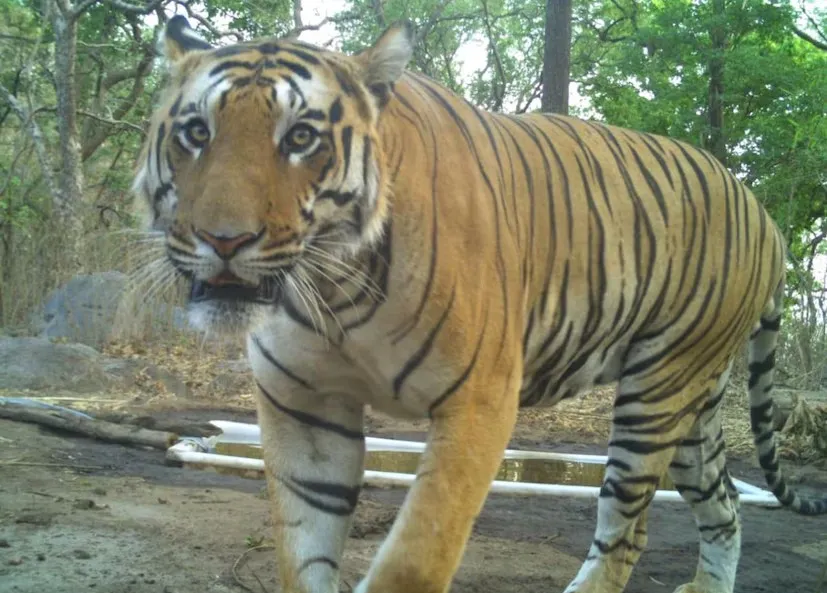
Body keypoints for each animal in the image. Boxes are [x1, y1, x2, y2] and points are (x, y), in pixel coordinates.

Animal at [132, 14, 827, 593]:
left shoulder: (479, 401)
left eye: (301, 137)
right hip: (696, 406)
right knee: (724, 507)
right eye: (197, 133)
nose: (224, 239)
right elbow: (303, 553)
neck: (333, 291)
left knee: (629, 530)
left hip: (658, 394)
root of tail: (767, 218)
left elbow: (414, 559)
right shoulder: (303, 405)